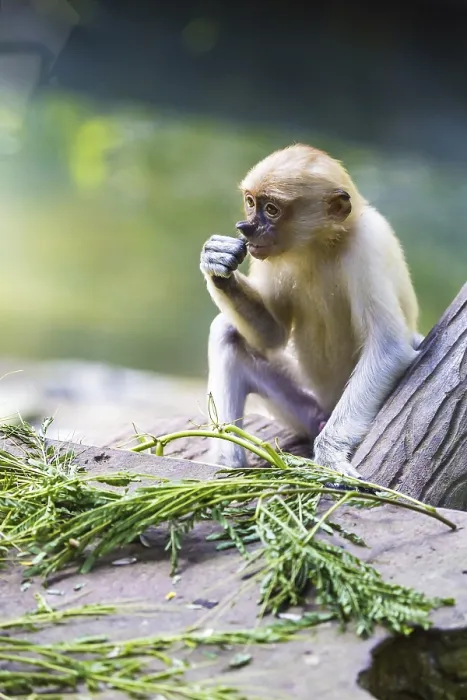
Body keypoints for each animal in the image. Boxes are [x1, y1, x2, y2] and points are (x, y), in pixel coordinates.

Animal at [199, 143, 422, 478]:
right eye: (251, 203)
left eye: (272, 209)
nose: (247, 229)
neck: (319, 246)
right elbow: (272, 336)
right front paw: (218, 260)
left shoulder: (368, 242)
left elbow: (388, 348)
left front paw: (330, 456)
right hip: (307, 411)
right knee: (227, 331)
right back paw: (227, 466)